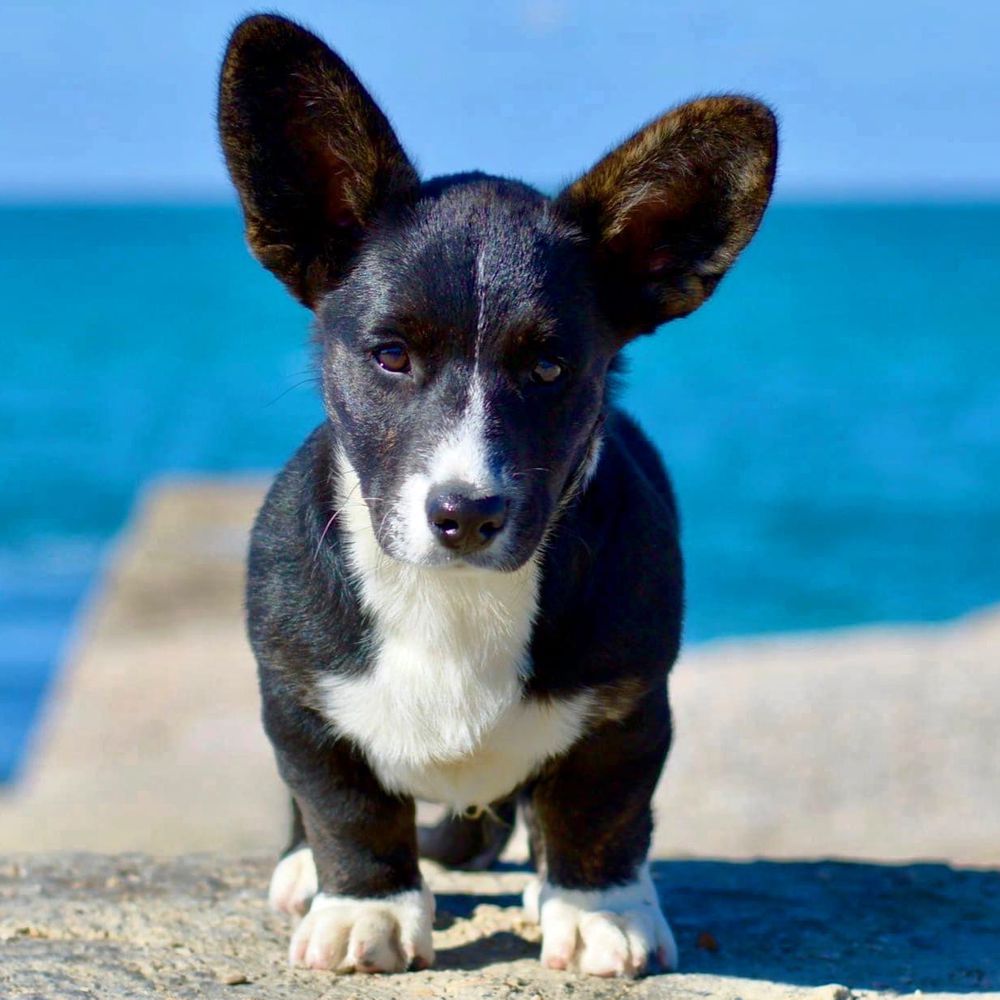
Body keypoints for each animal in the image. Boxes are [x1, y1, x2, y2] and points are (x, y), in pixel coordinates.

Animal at [219, 11, 776, 980]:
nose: (466, 515)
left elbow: (600, 811)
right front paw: (363, 910)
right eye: (390, 356)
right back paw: (301, 874)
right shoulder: (299, 699)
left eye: (550, 368)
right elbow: (344, 806)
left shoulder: (629, 708)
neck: (455, 599)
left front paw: (597, 915)